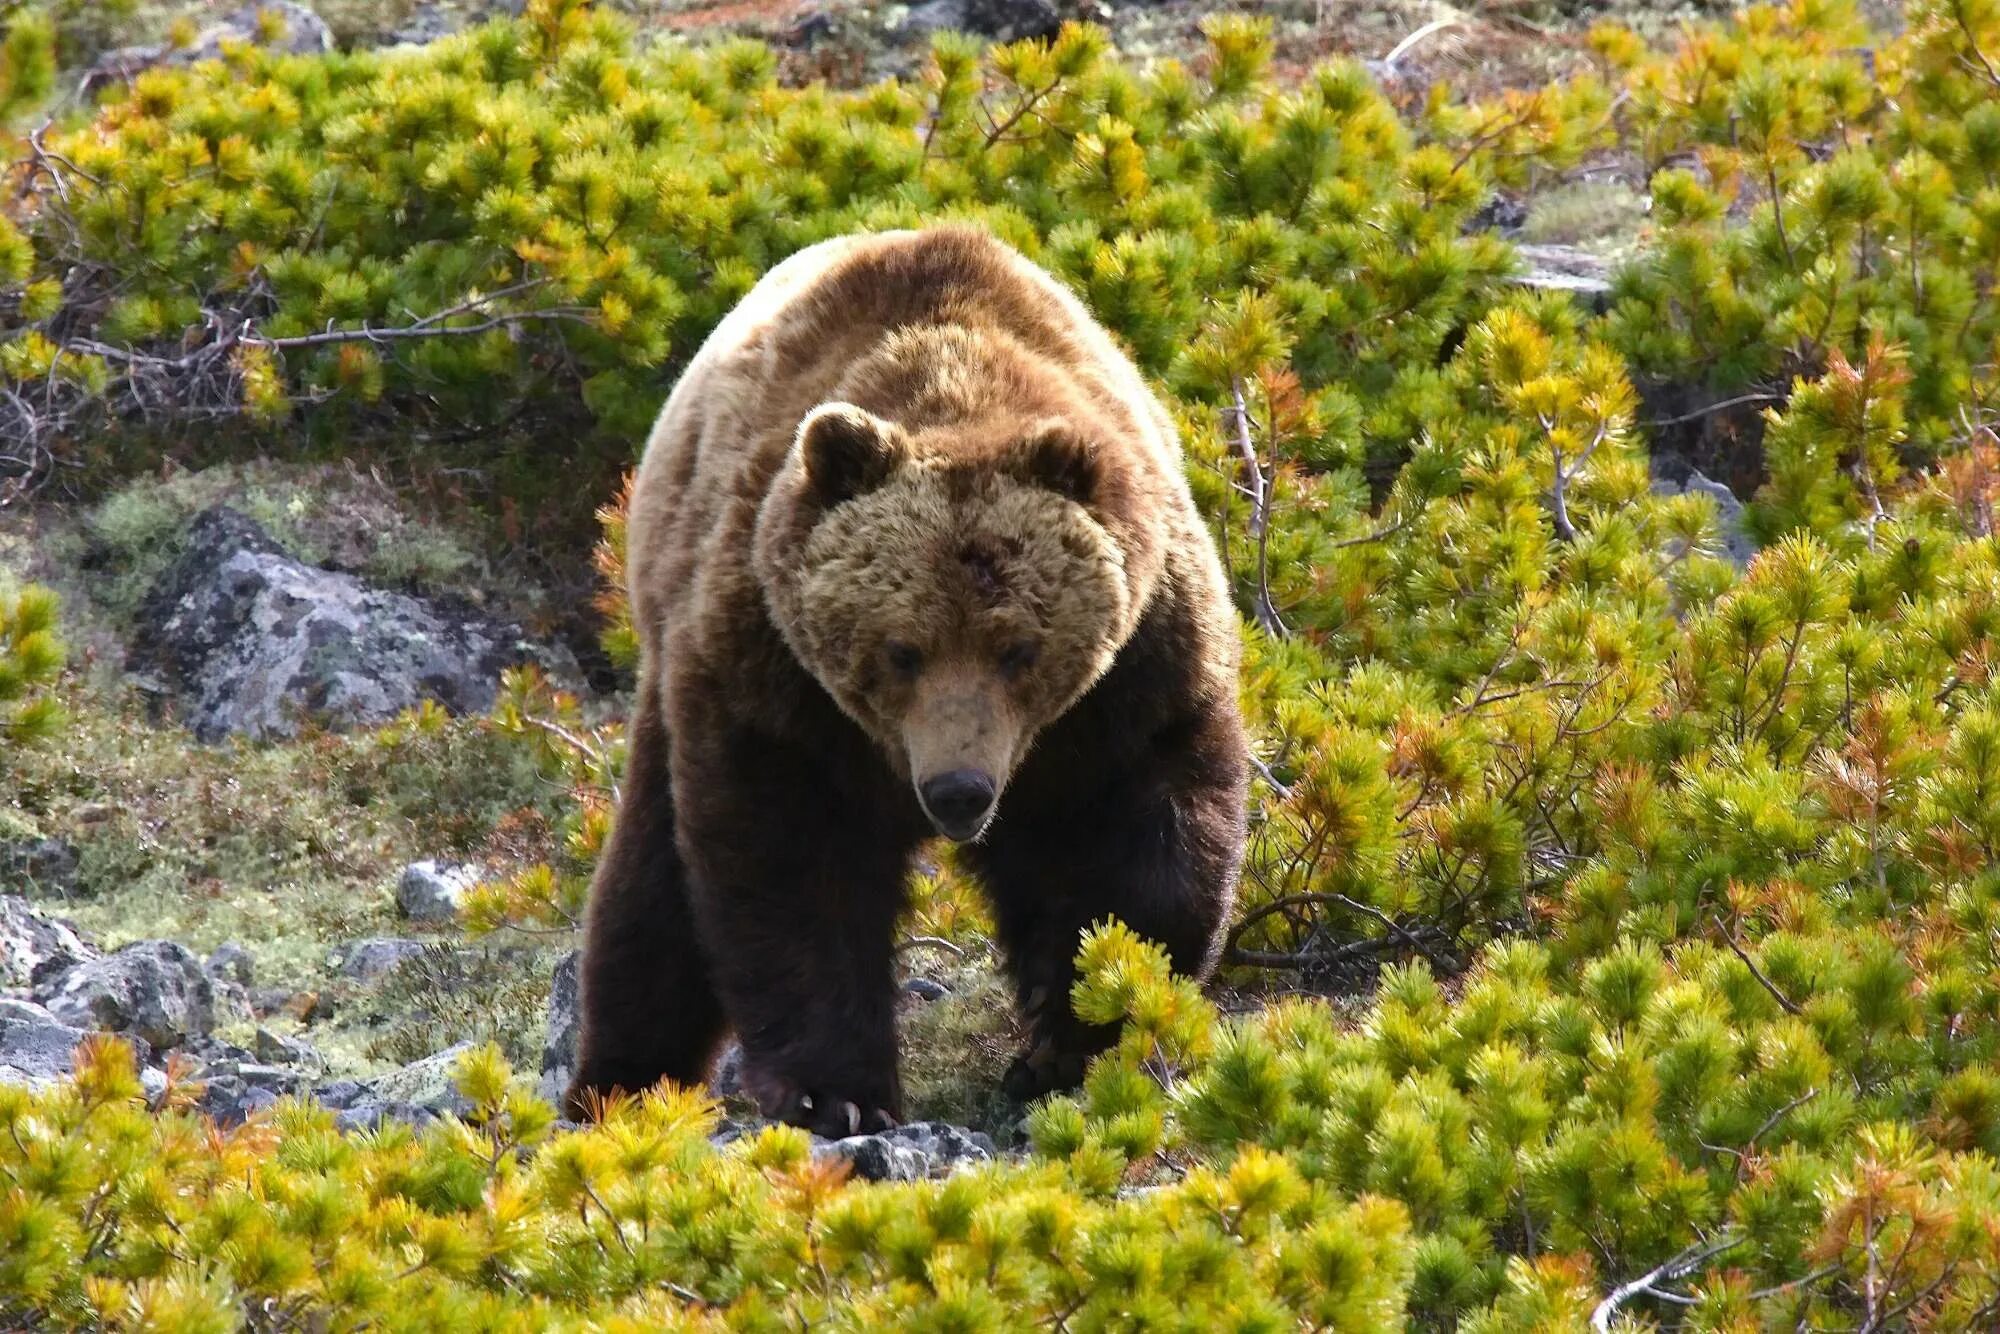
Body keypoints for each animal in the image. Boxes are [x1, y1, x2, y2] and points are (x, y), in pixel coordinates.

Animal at [568, 224, 1248, 1136]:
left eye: (1018, 648)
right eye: (901, 649)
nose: (958, 790)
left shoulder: (1129, 678)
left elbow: (1142, 838)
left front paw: (1081, 1037)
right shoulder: (777, 683)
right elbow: (796, 865)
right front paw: (836, 1091)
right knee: (649, 893)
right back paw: (618, 1085)